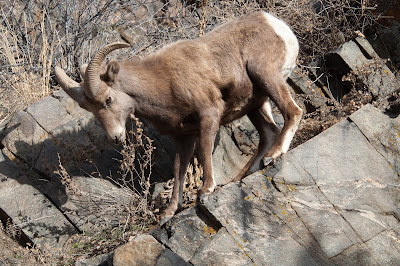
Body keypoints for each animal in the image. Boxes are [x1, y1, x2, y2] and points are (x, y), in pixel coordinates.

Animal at [55, 10, 300, 222]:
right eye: (91, 110)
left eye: (108, 99)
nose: (115, 137)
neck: (164, 82)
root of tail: (276, 25)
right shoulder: (183, 137)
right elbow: (178, 170)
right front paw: (169, 213)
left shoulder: (208, 115)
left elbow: (204, 152)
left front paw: (206, 190)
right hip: (255, 104)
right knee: (269, 132)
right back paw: (243, 175)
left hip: (265, 75)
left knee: (294, 111)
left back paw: (274, 155)